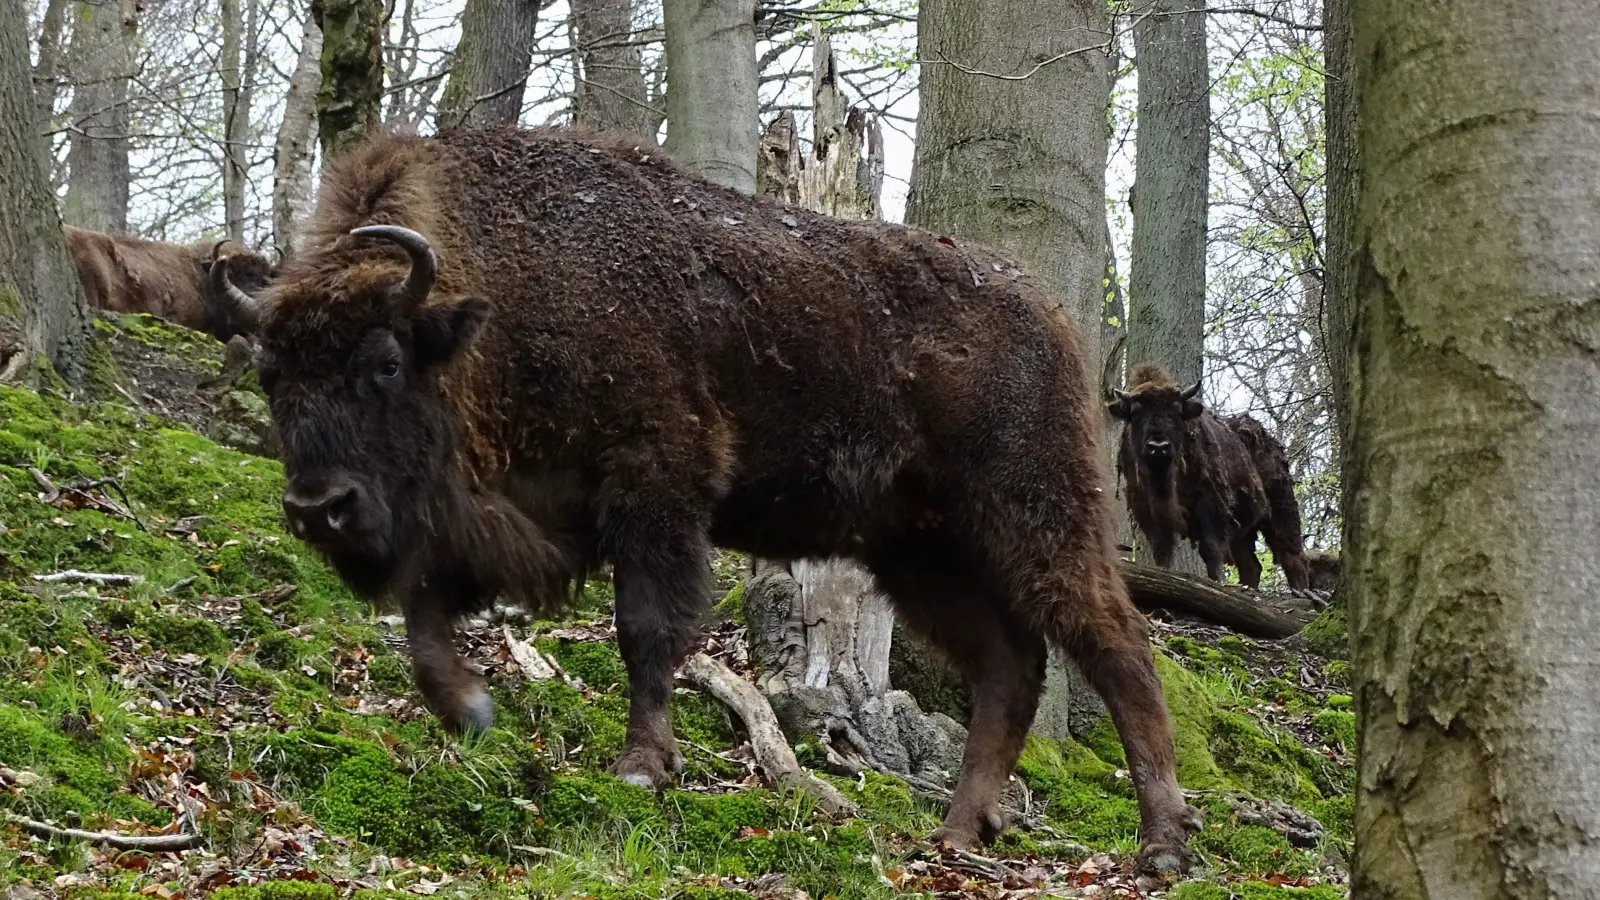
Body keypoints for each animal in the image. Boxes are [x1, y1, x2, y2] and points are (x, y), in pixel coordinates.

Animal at [240, 126, 1203, 871]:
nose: (317, 509)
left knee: (1116, 645)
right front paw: (471, 709)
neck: (501, 291)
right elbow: (427, 604)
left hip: (1035, 515)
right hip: (919, 550)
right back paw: (958, 833)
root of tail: (1055, 320)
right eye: (270, 373)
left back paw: (1160, 846)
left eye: (384, 362)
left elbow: (646, 629)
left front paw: (642, 764)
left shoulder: (656, 488)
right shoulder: (526, 518)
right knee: (1008, 667)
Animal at [1113, 360, 1312, 592]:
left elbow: (1210, 548)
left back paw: (1301, 592)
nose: (1158, 447)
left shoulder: (1208, 500)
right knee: (1251, 565)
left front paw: (1216, 582)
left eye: (1176, 410)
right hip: (1243, 531)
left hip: (1281, 511)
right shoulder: (1144, 507)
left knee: (1292, 556)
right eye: (1135, 412)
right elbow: (1162, 548)